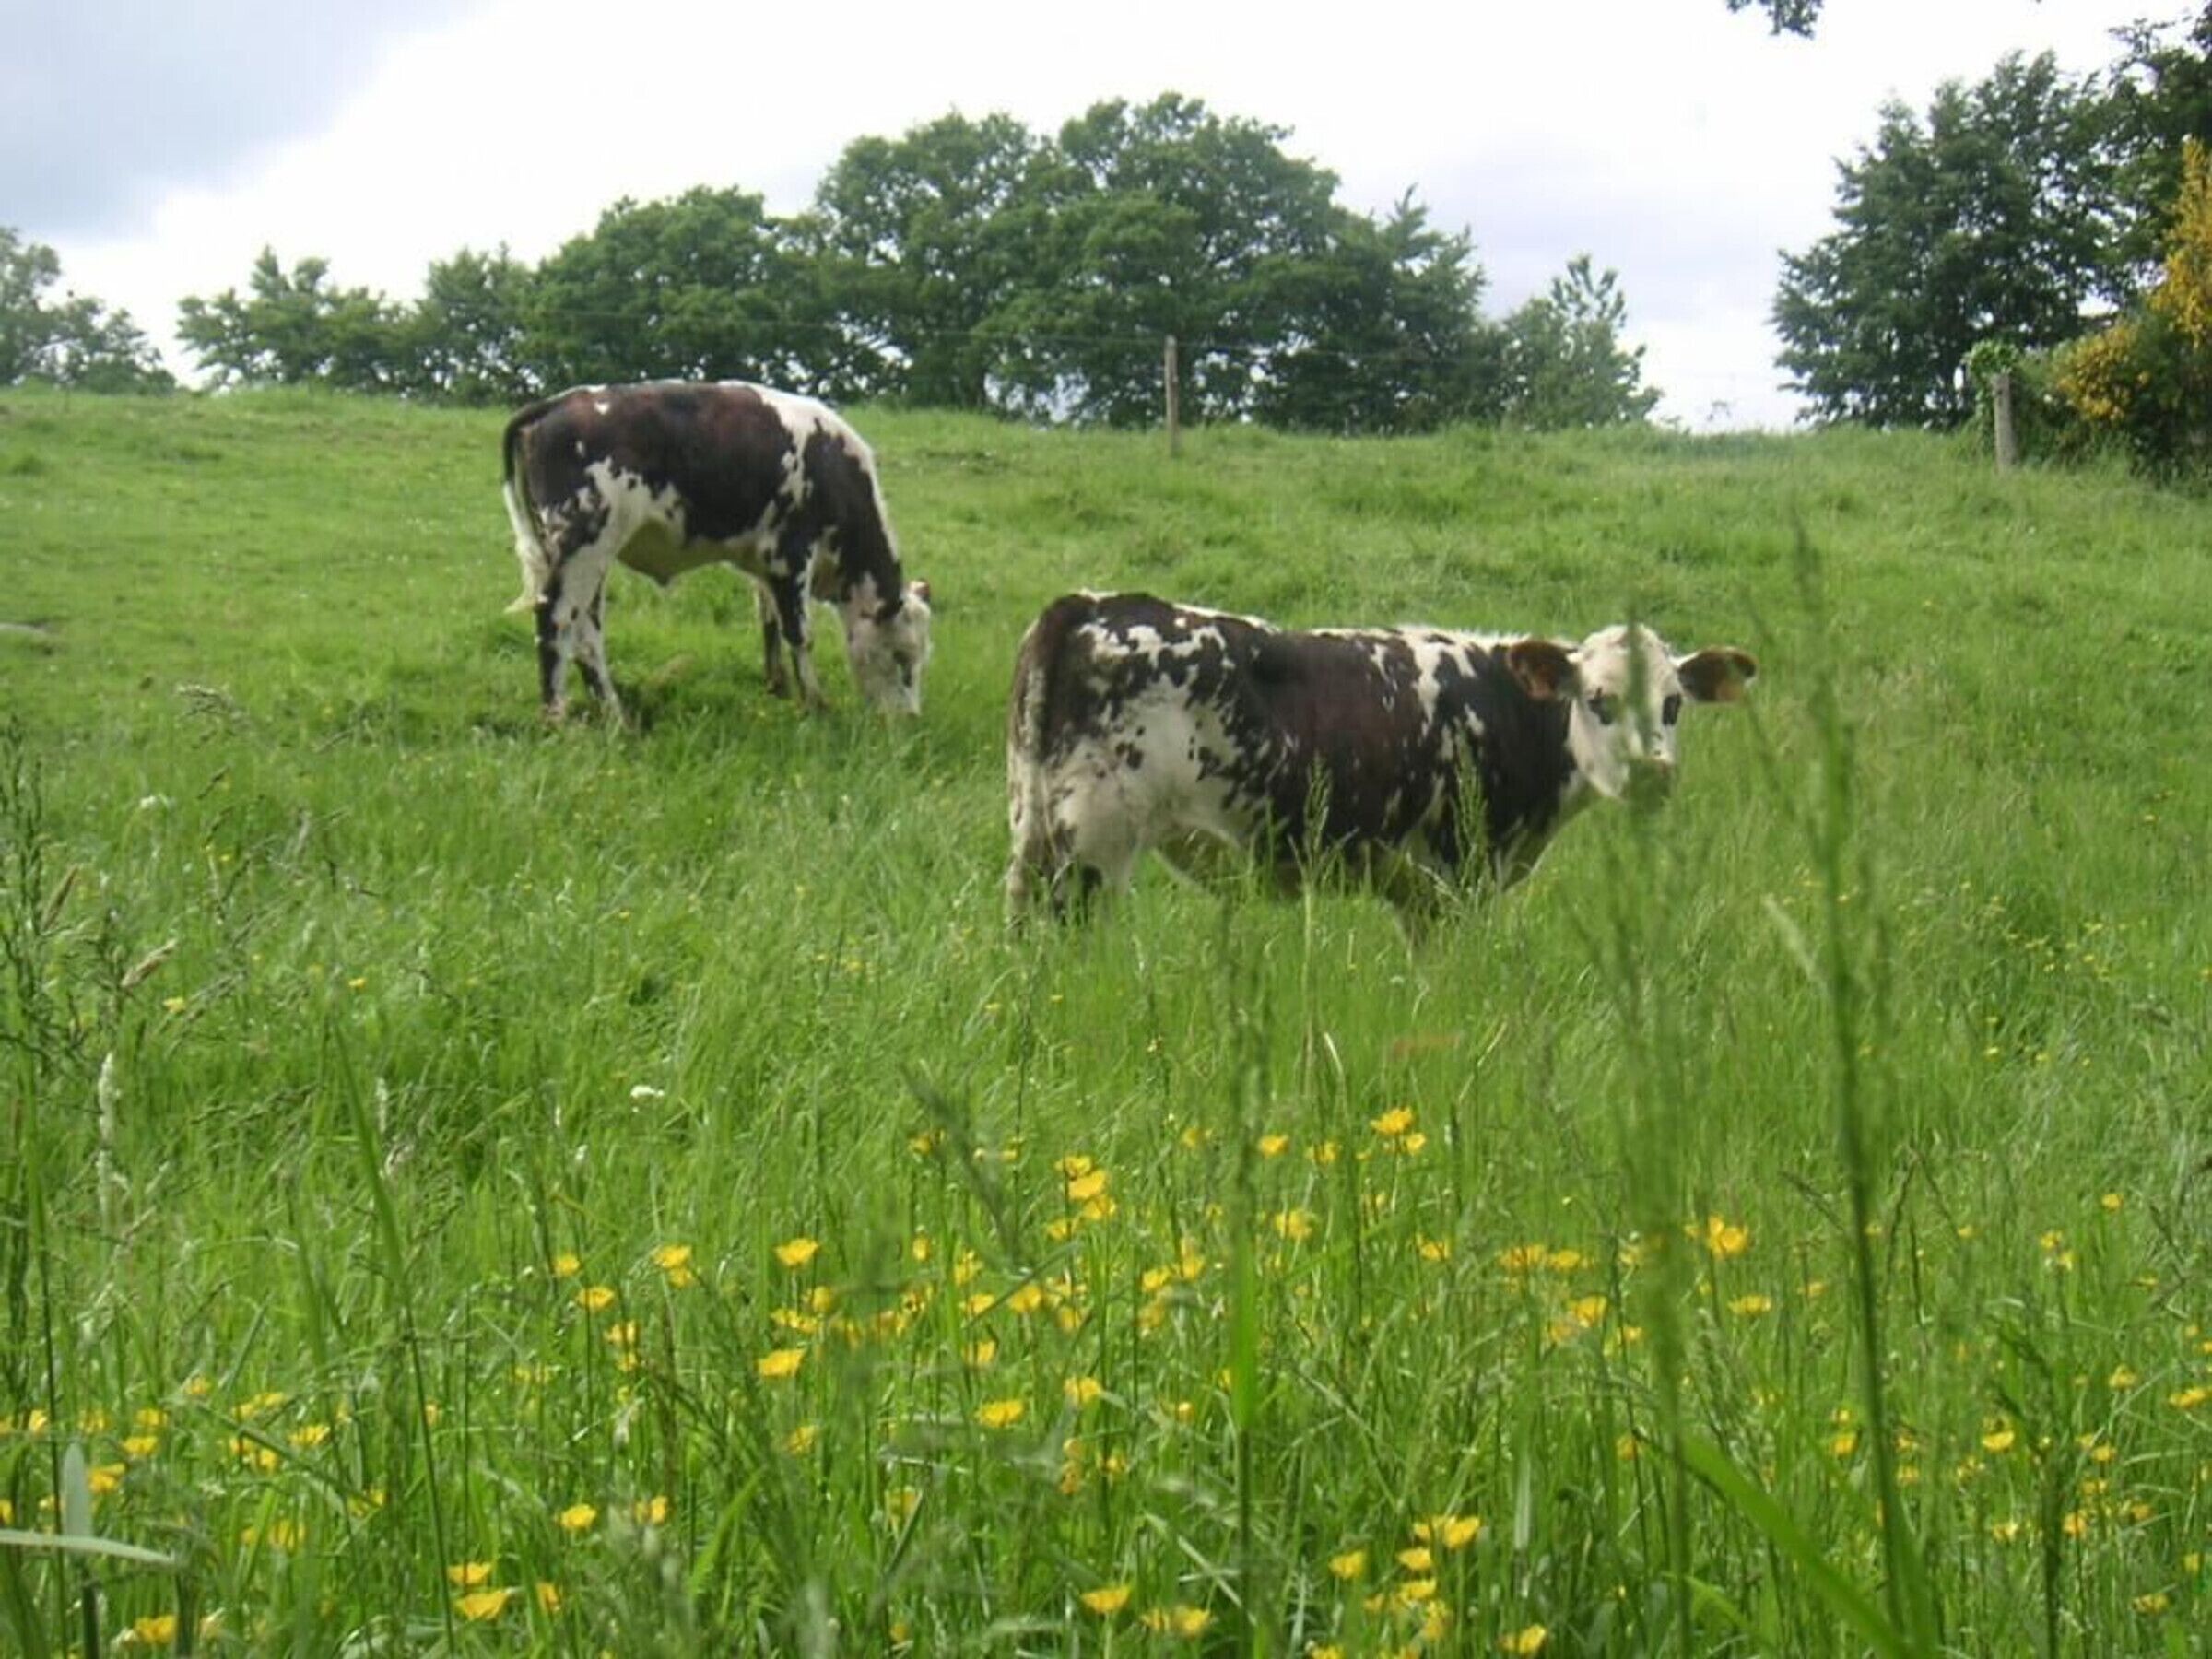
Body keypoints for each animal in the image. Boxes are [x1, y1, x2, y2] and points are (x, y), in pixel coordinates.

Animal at [502, 381, 931, 721]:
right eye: (901, 657)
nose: (910, 720)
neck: (830, 464)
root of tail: (557, 403)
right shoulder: (790, 555)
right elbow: (800, 634)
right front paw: (815, 704)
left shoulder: (763, 565)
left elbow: (768, 620)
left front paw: (777, 686)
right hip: (584, 547)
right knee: (556, 621)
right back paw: (559, 719)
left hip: (591, 554)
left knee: (586, 633)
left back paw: (615, 717)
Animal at [1005, 591, 1756, 922]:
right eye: (1598, 700)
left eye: (1673, 704)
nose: (1653, 772)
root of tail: (1093, 604)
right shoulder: (1460, 876)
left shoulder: (1415, 893)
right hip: (1094, 847)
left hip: (1033, 833)